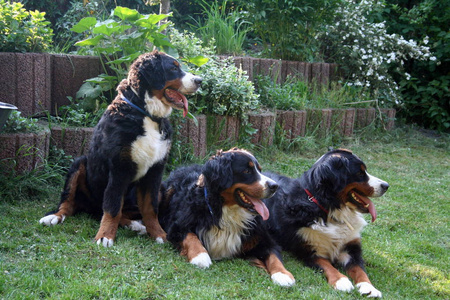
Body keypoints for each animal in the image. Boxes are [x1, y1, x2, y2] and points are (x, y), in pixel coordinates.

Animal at [39, 51, 201, 247]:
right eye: (173, 68)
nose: (200, 80)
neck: (146, 115)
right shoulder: (119, 168)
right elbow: (112, 206)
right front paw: (105, 236)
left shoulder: (155, 170)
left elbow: (150, 208)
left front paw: (159, 234)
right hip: (79, 164)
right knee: (70, 202)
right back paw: (54, 217)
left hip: (158, 190)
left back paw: (135, 225)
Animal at [157, 148, 296, 286]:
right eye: (247, 171)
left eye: (260, 170)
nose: (275, 186)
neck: (227, 212)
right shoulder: (177, 226)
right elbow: (191, 236)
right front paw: (200, 256)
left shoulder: (263, 238)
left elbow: (273, 256)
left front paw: (283, 274)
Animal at [266, 149, 388, 296]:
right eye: (360, 173)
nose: (386, 186)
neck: (330, 211)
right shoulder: (310, 250)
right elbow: (328, 266)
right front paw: (341, 281)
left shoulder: (351, 249)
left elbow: (360, 270)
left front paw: (369, 287)